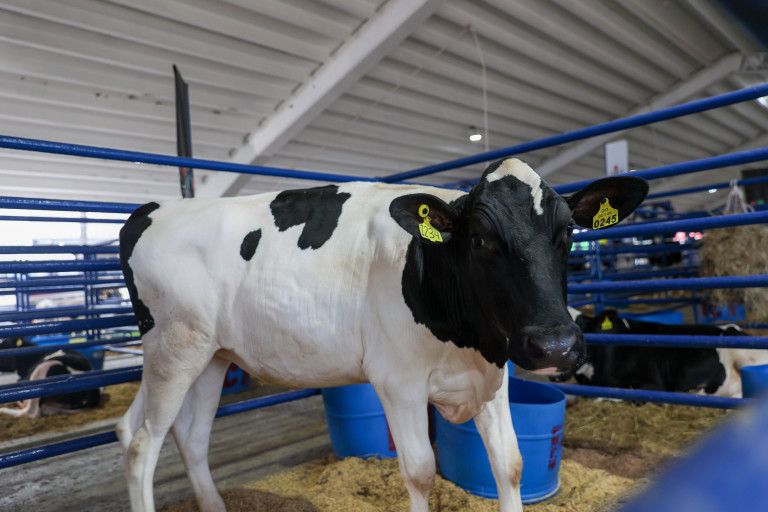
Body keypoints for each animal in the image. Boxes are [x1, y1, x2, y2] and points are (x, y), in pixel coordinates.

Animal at [116, 158, 647, 512]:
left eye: (569, 233)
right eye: (479, 238)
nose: (555, 345)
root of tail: (153, 208)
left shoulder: (493, 373)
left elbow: (510, 463)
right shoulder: (399, 382)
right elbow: (421, 471)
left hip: (211, 355)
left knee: (182, 434)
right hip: (174, 348)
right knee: (143, 443)